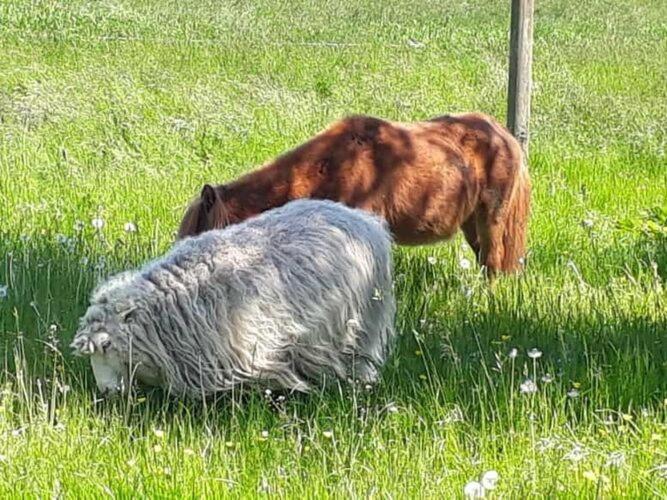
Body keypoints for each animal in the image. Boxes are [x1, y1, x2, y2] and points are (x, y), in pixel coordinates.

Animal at [177, 112, 532, 278]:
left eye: (196, 234)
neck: (331, 166)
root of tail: (504, 135)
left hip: (492, 218)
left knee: (494, 263)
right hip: (471, 223)